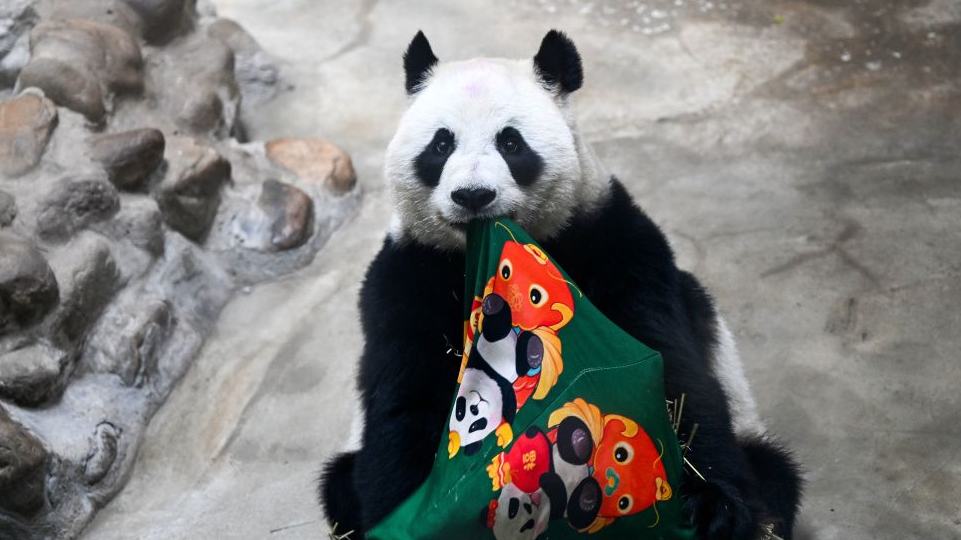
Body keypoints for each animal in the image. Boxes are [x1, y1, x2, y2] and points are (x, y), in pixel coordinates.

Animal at [320, 30, 803, 540]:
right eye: (441, 144)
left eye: (511, 142)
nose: (473, 196)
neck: (481, 251)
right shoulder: (409, 274)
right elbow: (406, 398)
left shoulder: (611, 240)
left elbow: (668, 362)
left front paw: (709, 505)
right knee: (338, 483)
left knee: (775, 472)